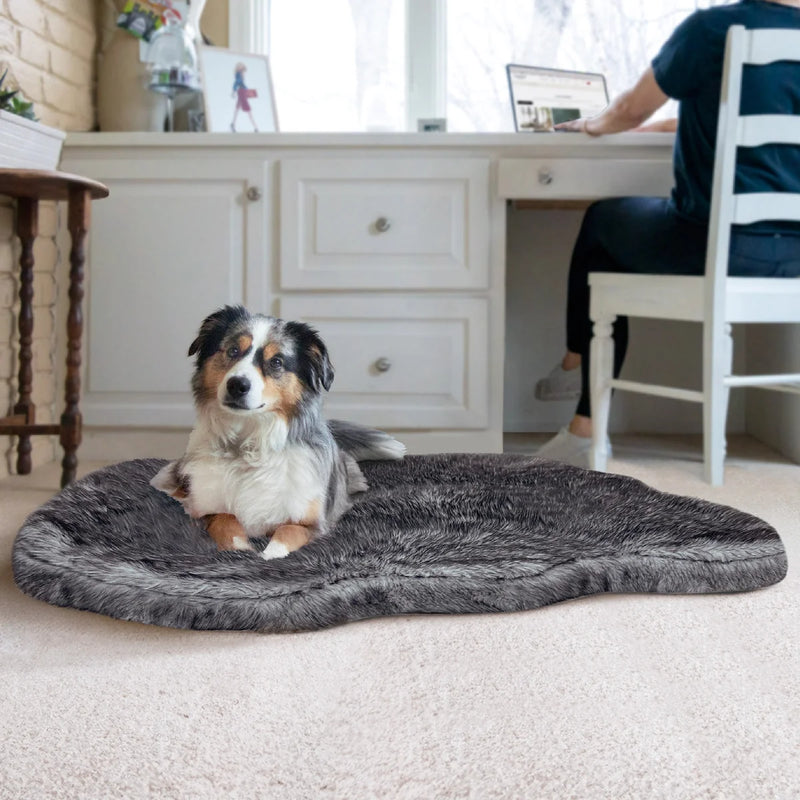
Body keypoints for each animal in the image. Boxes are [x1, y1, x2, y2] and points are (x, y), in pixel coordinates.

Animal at [148, 306, 406, 564]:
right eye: (232, 350)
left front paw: (269, 555)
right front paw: (242, 552)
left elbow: (287, 532)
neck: (249, 442)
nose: (236, 385)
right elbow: (227, 521)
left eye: (277, 362)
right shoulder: (205, 508)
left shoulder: (313, 522)